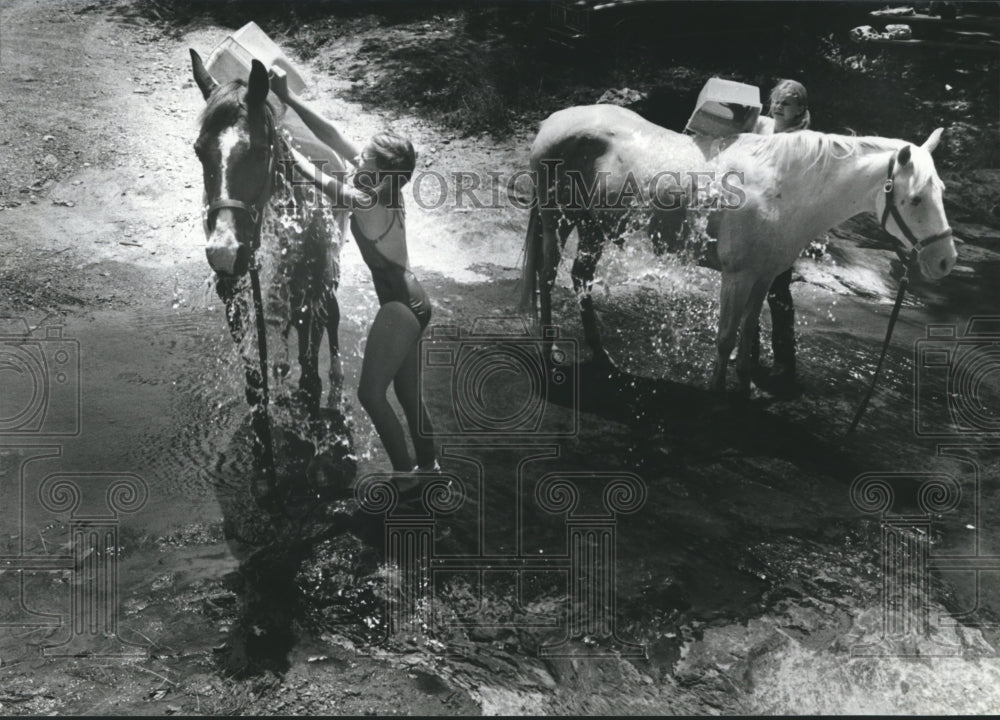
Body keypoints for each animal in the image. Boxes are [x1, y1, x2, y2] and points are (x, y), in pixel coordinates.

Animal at [191, 53, 348, 472]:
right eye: (199, 150)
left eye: (260, 151)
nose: (225, 250)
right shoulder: (235, 296)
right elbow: (254, 385)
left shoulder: (312, 291)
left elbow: (310, 380)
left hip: (326, 278)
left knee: (330, 321)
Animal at [520, 103, 956, 394]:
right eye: (916, 199)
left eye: (941, 190)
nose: (944, 261)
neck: (783, 190)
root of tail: (551, 123)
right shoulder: (737, 276)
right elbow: (726, 336)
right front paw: (716, 392)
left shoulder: (763, 277)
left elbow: (748, 334)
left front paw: (744, 388)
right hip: (557, 220)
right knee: (547, 275)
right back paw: (550, 349)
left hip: (594, 227)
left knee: (580, 279)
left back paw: (602, 355)